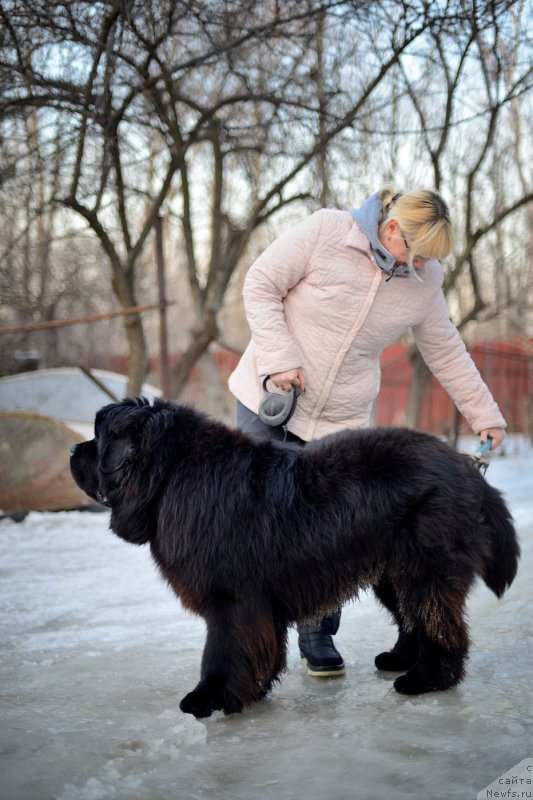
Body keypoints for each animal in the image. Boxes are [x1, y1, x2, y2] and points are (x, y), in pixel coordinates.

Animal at [68, 400, 516, 720]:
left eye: (98, 439)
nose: (73, 448)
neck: (170, 474)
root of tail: (465, 465)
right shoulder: (255, 605)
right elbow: (256, 647)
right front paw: (256, 686)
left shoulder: (232, 600)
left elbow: (222, 650)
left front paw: (210, 697)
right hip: (392, 571)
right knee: (413, 618)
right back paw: (399, 660)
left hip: (424, 568)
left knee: (439, 623)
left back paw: (427, 679)